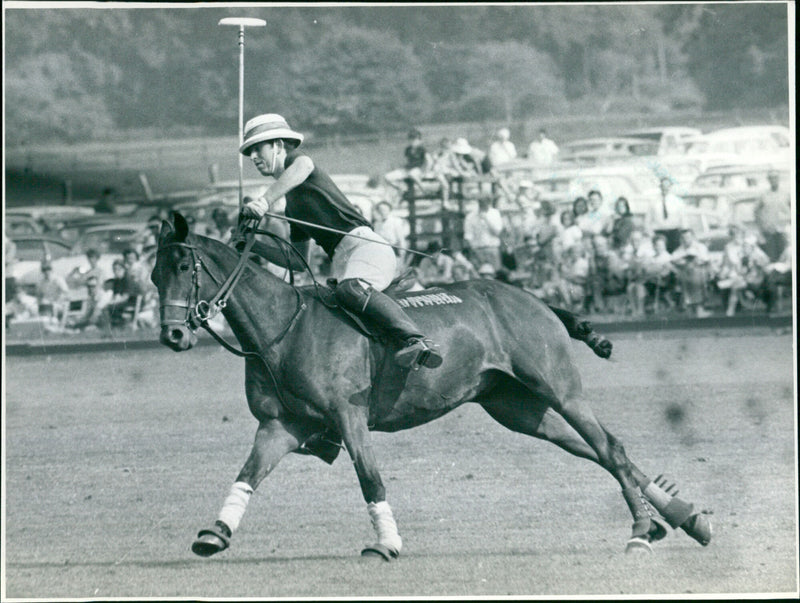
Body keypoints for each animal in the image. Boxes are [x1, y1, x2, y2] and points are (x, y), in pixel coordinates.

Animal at [152, 214, 712, 560]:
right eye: (155, 276)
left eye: (182, 266)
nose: (173, 335)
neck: (282, 329)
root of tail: (537, 299)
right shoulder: (281, 424)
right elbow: (247, 474)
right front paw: (214, 534)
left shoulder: (349, 416)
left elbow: (371, 480)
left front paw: (387, 544)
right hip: (515, 407)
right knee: (595, 451)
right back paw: (682, 518)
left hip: (558, 386)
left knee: (609, 446)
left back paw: (642, 532)